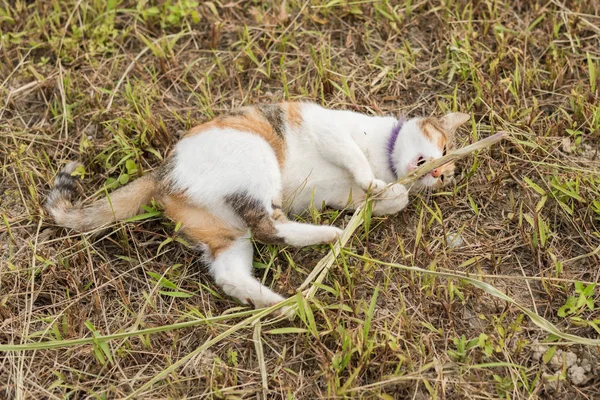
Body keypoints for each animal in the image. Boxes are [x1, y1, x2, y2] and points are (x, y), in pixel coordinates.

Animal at [47, 101, 468, 310]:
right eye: (445, 146)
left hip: (226, 233)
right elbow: (356, 161)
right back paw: (329, 237)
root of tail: (161, 175)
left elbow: (388, 197)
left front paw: (389, 195)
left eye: (448, 174)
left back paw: (283, 304)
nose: (440, 172)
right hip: (256, 155)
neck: (384, 157)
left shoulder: (342, 195)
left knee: (236, 268)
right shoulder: (328, 127)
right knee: (269, 225)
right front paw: (376, 184)